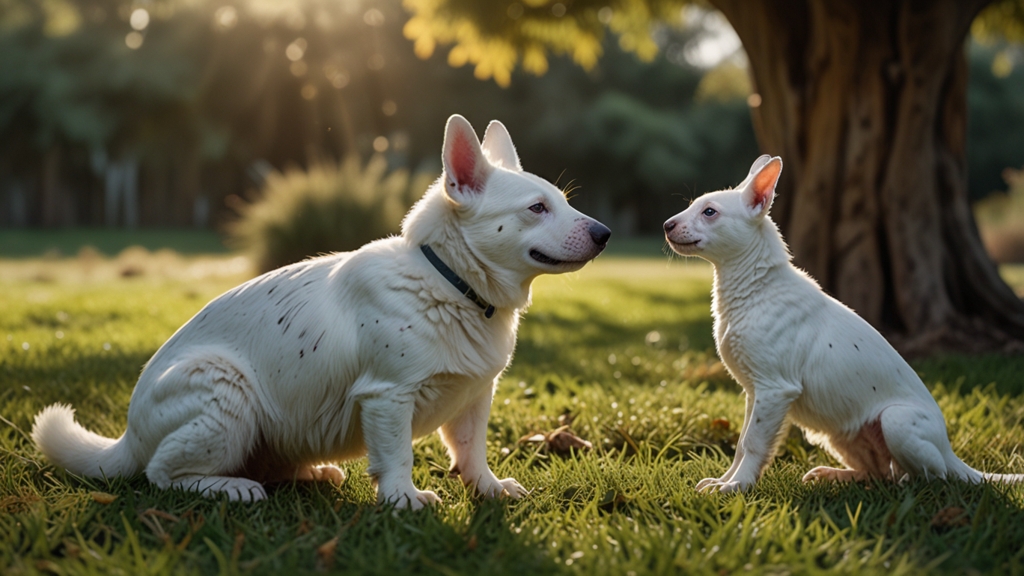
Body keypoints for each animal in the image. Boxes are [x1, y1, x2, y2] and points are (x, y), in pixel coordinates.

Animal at [32, 114, 606, 504]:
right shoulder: (387, 397)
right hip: (227, 392)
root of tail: (128, 436)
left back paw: (310, 473)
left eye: (562, 201)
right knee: (162, 473)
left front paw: (488, 488)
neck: (450, 282)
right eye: (537, 208)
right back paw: (230, 487)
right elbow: (397, 455)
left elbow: (472, 452)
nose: (604, 233)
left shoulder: (474, 398)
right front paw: (403, 499)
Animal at [659, 154, 1019, 491]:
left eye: (709, 212)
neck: (756, 288)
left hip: (896, 421)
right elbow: (741, 443)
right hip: (837, 434)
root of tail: (951, 452)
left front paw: (736, 487)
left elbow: (753, 443)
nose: (666, 225)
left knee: (930, 476)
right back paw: (833, 475)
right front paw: (723, 481)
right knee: (879, 473)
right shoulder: (754, 392)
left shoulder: (774, 389)